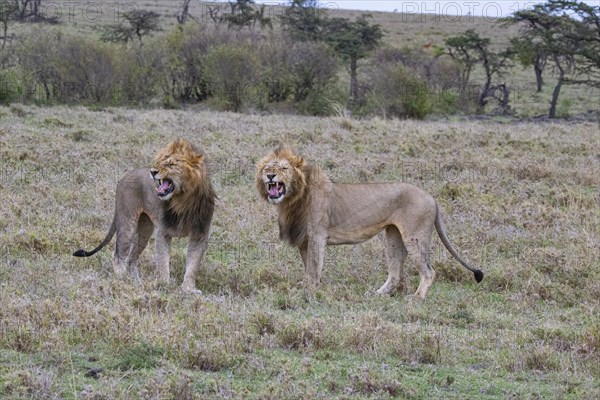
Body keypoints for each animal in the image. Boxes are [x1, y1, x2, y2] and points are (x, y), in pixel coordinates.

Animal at [73, 139, 216, 292]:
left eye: (171, 164)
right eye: (159, 162)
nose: (153, 172)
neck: (184, 201)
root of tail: (125, 176)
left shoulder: (199, 235)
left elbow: (193, 265)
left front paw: (188, 289)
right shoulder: (163, 232)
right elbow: (163, 261)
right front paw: (163, 284)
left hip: (145, 229)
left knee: (132, 258)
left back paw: (136, 281)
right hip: (128, 222)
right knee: (118, 255)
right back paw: (122, 278)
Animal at [254, 145, 482, 298]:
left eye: (283, 168)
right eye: (266, 168)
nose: (270, 175)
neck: (292, 200)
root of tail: (431, 197)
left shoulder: (318, 235)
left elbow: (313, 268)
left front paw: (308, 293)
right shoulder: (304, 241)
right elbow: (309, 268)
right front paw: (310, 288)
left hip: (415, 237)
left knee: (428, 271)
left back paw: (416, 298)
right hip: (393, 235)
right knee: (395, 272)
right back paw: (377, 294)